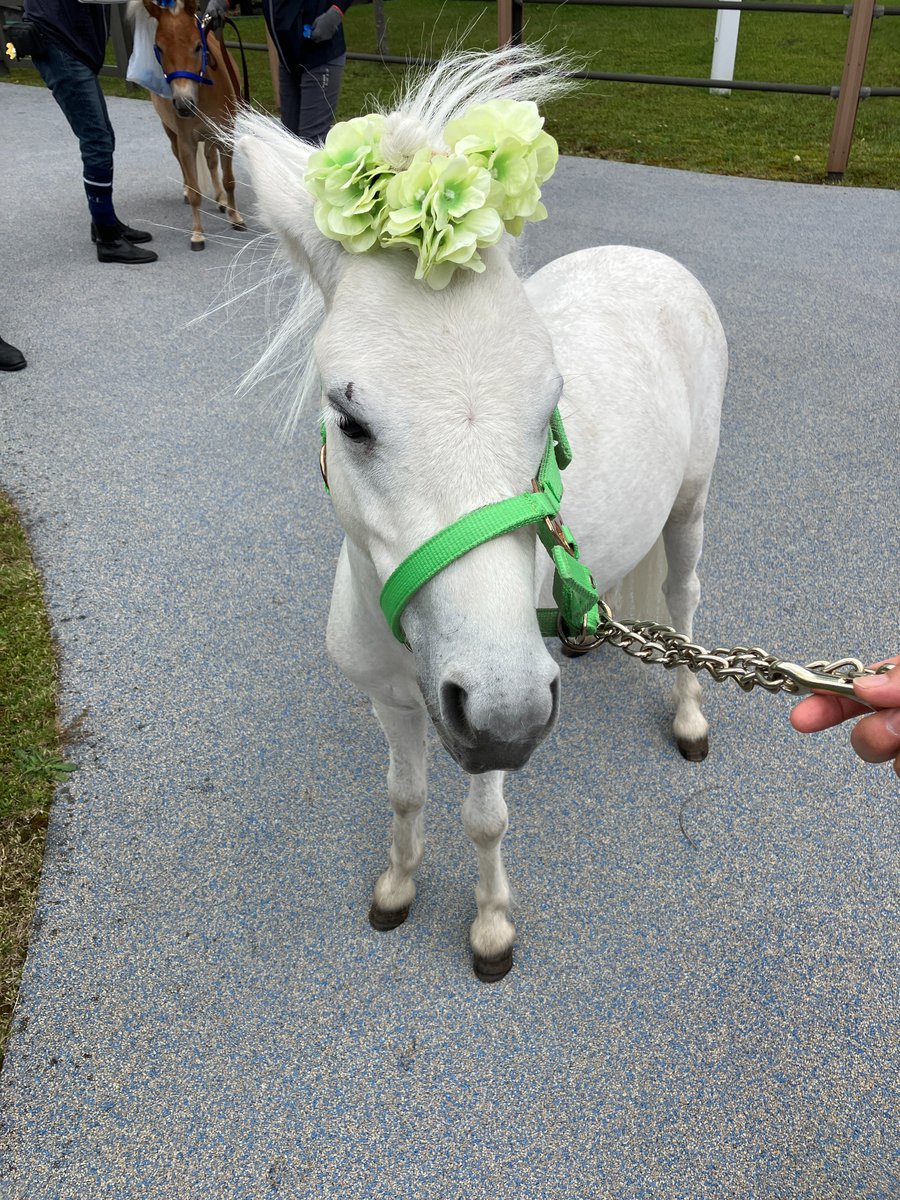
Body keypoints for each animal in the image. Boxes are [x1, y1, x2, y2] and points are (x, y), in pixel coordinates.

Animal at [137, 0, 245, 249]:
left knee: (211, 161)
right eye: (159, 48)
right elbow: (196, 189)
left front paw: (235, 217)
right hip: (170, 131)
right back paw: (187, 191)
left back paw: (221, 200)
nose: (183, 104)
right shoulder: (187, 141)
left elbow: (229, 180)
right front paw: (197, 234)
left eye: (198, 46)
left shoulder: (225, 136)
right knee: (179, 159)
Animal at [234, 49, 728, 982]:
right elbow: (405, 795)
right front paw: (397, 887)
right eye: (349, 420)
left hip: (690, 505)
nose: (508, 713)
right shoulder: (397, 705)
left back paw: (688, 715)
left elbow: (485, 819)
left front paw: (492, 926)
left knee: (682, 602)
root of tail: (649, 257)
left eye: (549, 412)